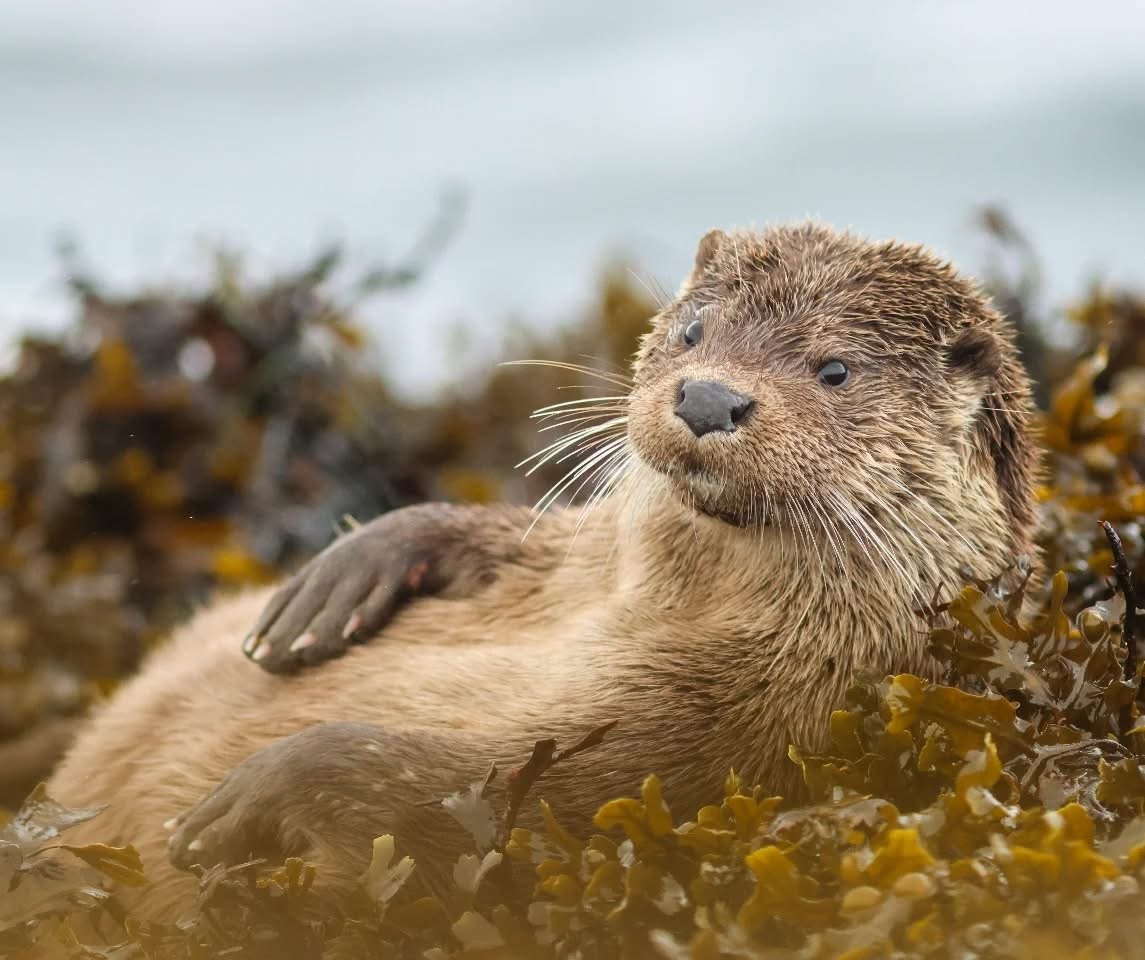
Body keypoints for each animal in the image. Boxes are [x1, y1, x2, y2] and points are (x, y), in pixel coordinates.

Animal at [46, 223, 1039, 923]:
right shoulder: (569, 555)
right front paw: (344, 576)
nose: (707, 396)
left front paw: (268, 786)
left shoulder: (738, 726)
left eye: (834, 369)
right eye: (693, 328)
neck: (650, 605)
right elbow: (498, 532)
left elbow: (495, 796)